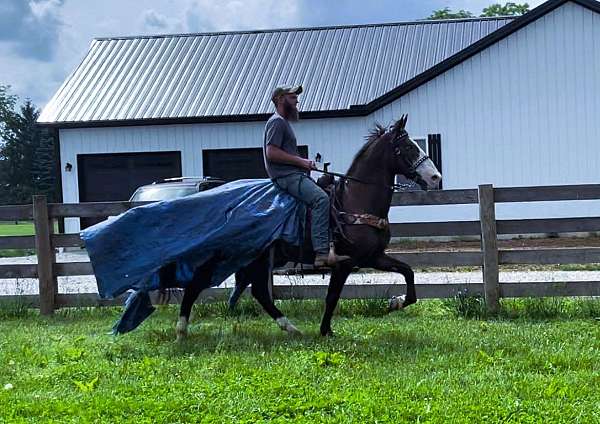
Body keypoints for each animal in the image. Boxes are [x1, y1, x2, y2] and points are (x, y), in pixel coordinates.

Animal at [173, 116, 440, 342]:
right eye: (408, 147)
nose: (435, 177)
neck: (354, 202)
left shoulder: (373, 257)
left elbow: (408, 273)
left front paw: (395, 302)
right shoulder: (344, 263)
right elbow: (332, 297)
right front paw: (325, 331)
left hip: (256, 259)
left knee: (259, 292)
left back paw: (290, 327)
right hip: (236, 257)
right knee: (199, 284)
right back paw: (181, 330)